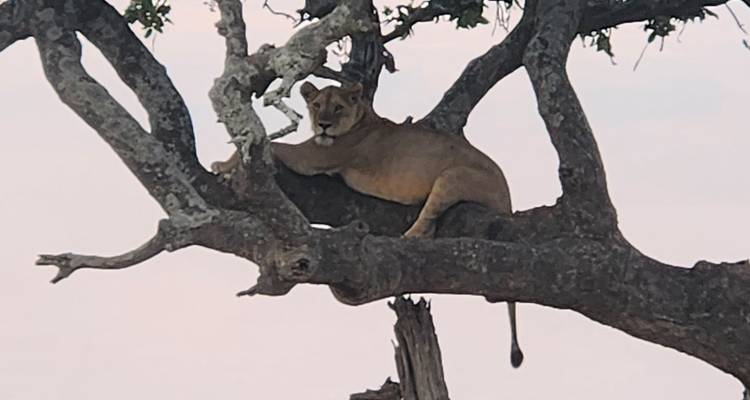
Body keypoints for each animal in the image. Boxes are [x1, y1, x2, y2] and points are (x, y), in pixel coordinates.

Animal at [211, 81, 524, 367]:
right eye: (317, 105)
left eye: (338, 107)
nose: (324, 125)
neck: (361, 118)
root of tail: (508, 194)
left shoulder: (313, 156)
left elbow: (270, 143)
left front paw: (222, 166)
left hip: (452, 176)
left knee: (427, 222)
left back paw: (408, 237)